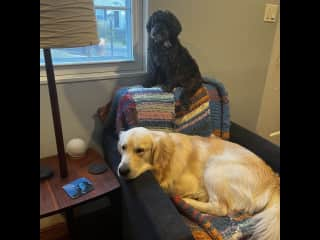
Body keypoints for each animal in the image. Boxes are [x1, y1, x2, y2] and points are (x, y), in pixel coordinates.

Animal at [118, 126, 280, 239]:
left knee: (220, 208)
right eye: (123, 147)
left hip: (215, 167)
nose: (122, 171)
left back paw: (187, 201)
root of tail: (274, 181)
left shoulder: (190, 183)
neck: (167, 157)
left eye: (140, 150)